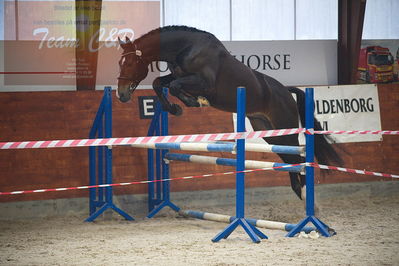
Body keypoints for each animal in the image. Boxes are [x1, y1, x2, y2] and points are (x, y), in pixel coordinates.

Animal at [116, 26, 344, 206]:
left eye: (129, 63)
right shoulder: (177, 75)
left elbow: (174, 86)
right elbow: (159, 83)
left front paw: (193, 102)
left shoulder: (204, 83)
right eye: (120, 64)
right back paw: (303, 198)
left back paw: (309, 203)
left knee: (300, 160)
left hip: (285, 131)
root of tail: (287, 93)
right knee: (292, 162)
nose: (122, 94)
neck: (186, 48)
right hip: (271, 133)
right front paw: (175, 108)